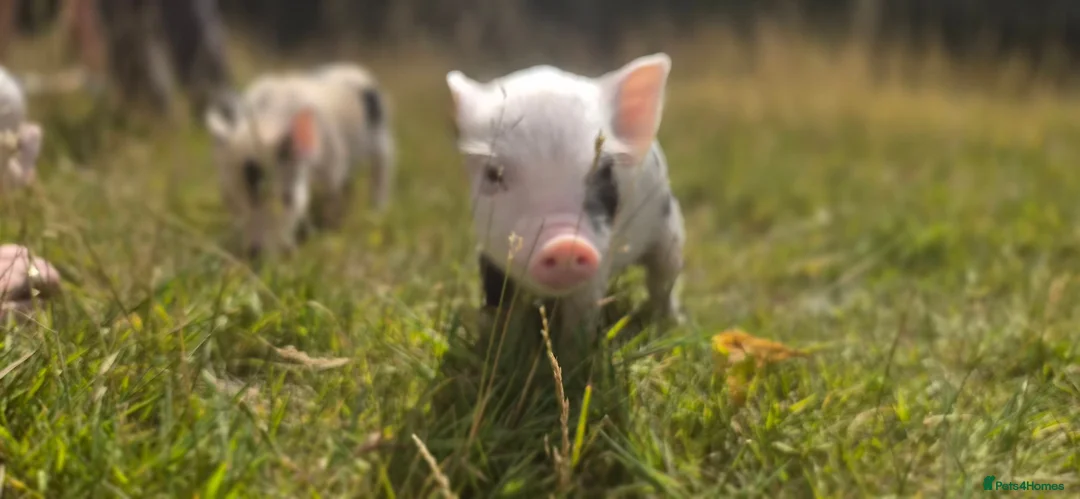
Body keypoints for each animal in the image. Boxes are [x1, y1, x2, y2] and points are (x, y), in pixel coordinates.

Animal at [203, 62, 395, 258]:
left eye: (286, 198)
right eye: (229, 200)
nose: (255, 254)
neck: (269, 123)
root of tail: (351, 68)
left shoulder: (333, 164)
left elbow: (331, 198)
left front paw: (327, 233)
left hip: (381, 137)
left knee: (381, 169)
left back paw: (376, 213)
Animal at [445, 53, 687, 347]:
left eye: (605, 171)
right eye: (494, 174)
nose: (565, 244)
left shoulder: (600, 262)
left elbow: (581, 314)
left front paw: (572, 351)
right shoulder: (489, 255)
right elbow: (498, 304)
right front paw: (497, 343)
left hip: (670, 231)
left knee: (663, 282)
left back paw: (675, 323)